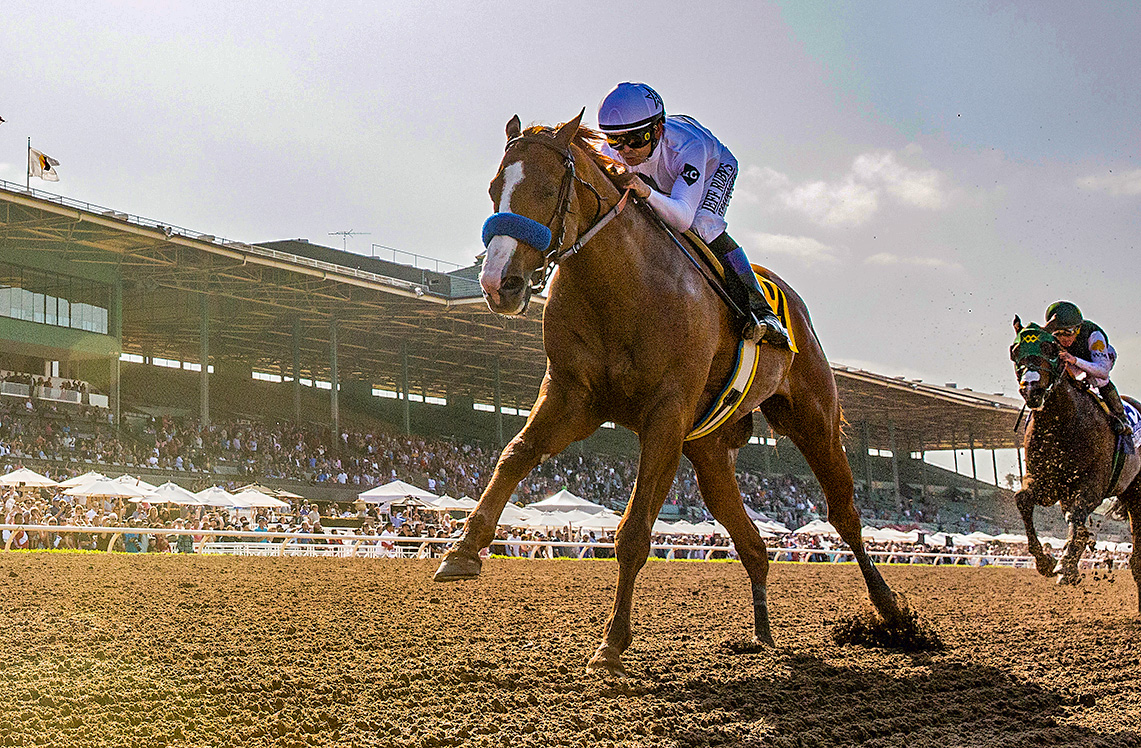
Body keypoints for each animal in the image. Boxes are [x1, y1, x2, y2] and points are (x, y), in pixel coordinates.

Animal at [435, 112, 908, 679]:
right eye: (493, 190)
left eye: (548, 189)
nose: (497, 283)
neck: (623, 284)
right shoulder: (572, 395)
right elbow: (515, 454)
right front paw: (462, 550)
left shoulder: (666, 413)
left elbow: (635, 531)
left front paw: (612, 643)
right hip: (708, 451)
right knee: (752, 543)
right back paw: (761, 633)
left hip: (812, 418)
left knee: (844, 514)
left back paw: (892, 613)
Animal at [1008, 319, 1141, 597]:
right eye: (1015, 351)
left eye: (1050, 348)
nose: (1032, 389)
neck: (1061, 423)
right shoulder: (1046, 482)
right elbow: (1023, 499)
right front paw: (1046, 562)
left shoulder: (1092, 484)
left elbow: (1077, 516)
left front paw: (1066, 566)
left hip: (1136, 492)